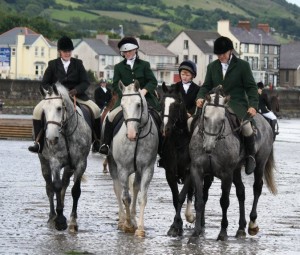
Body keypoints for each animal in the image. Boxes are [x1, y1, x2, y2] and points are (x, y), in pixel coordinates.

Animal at [38, 82, 91, 232]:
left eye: (59, 108)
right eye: (44, 111)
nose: (51, 138)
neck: (66, 132)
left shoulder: (80, 163)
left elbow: (75, 191)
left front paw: (72, 221)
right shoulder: (54, 161)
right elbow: (55, 185)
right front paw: (60, 220)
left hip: (69, 167)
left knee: (65, 184)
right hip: (44, 163)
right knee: (50, 187)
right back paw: (52, 216)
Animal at [106, 81, 159, 237]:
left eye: (138, 105)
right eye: (123, 106)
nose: (131, 134)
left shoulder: (147, 168)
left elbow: (142, 197)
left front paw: (140, 228)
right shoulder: (122, 169)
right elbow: (126, 198)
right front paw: (128, 225)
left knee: (135, 188)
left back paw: (134, 219)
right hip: (112, 165)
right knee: (118, 190)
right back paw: (122, 220)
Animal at [189, 85, 278, 243]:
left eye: (221, 119)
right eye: (205, 118)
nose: (208, 147)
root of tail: (264, 121)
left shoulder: (226, 174)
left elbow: (224, 201)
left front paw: (223, 232)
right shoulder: (197, 170)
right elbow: (199, 201)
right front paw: (196, 232)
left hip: (259, 164)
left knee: (257, 188)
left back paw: (252, 224)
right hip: (236, 170)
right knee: (241, 192)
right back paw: (241, 228)